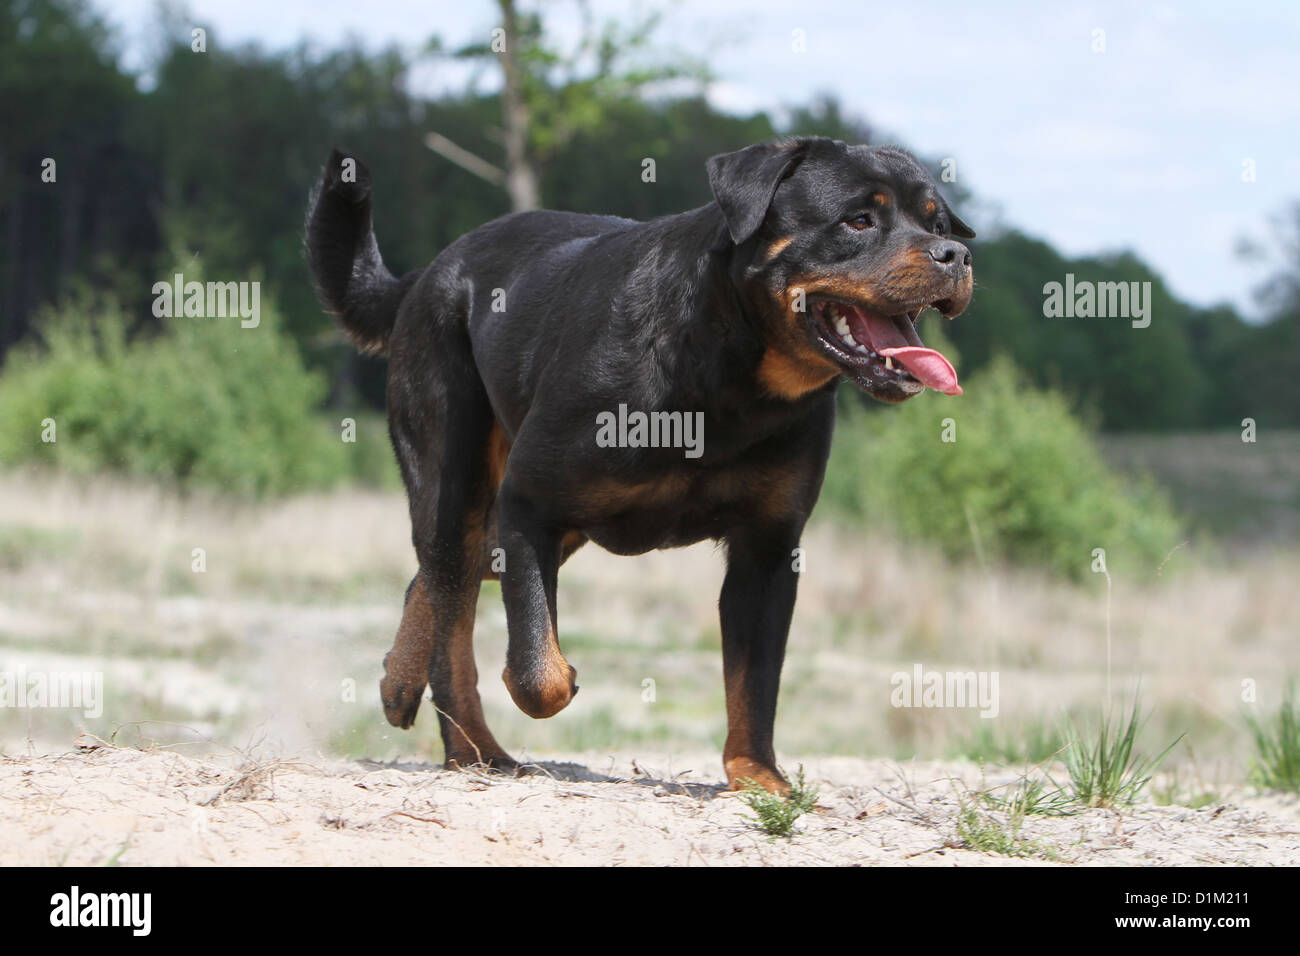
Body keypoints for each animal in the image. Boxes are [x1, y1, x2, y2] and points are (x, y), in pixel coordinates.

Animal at [306, 136, 977, 790]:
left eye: (938, 222)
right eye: (859, 220)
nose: (956, 255)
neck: (732, 380)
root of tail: (430, 272)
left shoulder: (768, 547)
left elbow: (756, 679)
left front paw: (758, 775)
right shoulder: (529, 498)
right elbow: (536, 673)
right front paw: (559, 677)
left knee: (441, 578)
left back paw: (410, 692)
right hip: (456, 471)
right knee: (452, 606)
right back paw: (472, 746)